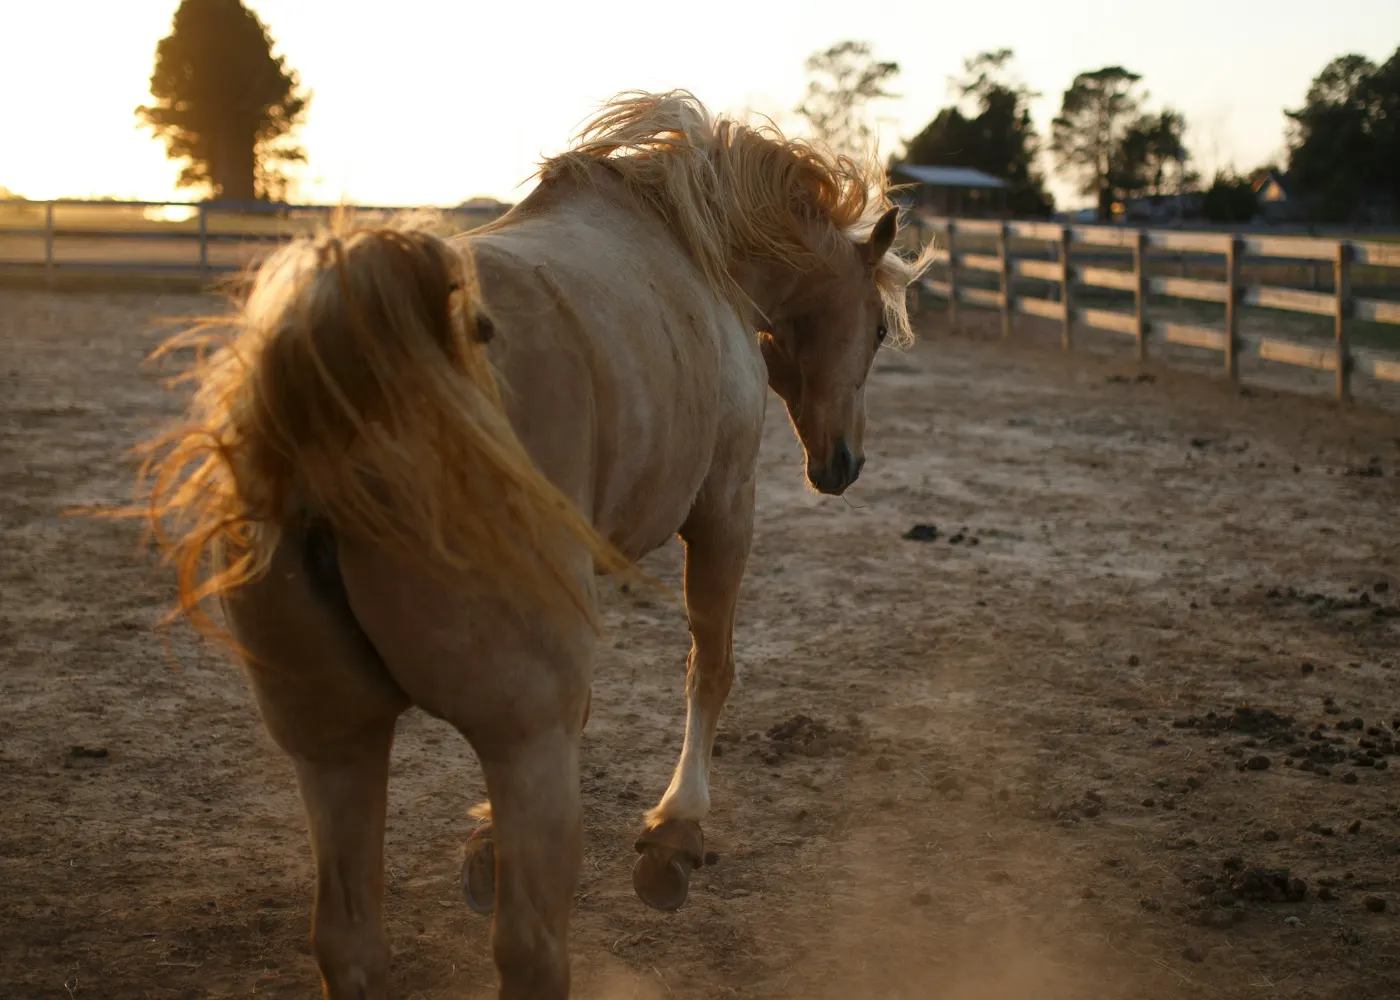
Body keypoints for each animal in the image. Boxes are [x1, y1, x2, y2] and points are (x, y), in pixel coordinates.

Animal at [137, 90, 930, 999]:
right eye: (878, 330)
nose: (844, 463)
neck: (698, 247)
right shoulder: (725, 506)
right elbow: (711, 665)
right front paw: (675, 834)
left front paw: (486, 844)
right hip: (515, 735)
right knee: (527, 948)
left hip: (334, 739)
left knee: (350, 942)